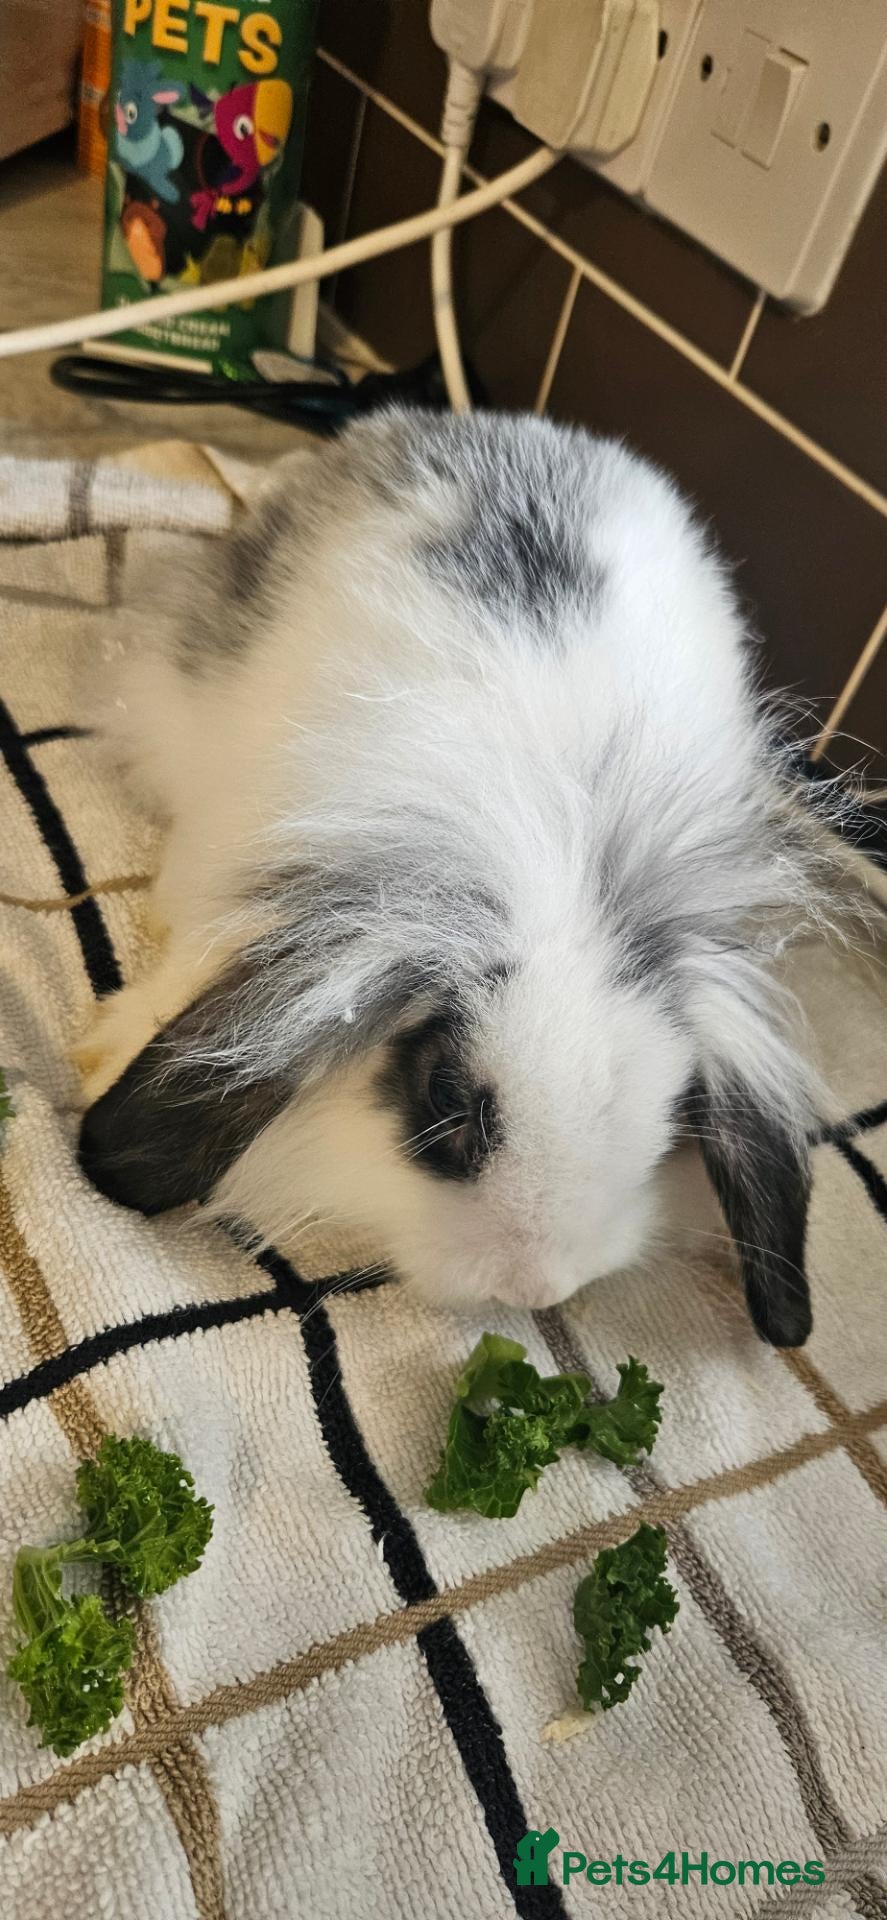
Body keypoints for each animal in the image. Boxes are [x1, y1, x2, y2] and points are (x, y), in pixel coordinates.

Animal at [77, 407, 838, 1347]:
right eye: (445, 1100)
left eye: (671, 1123)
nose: (532, 1287)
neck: (558, 847)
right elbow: (192, 957)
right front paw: (106, 1049)